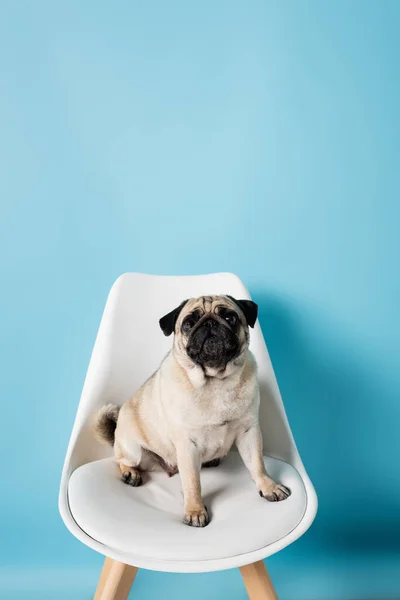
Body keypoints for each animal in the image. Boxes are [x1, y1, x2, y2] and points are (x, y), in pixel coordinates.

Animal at [94, 294, 290, 524]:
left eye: (230, 317)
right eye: (189, 323)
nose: (210, 323)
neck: (216, 381)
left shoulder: (249, 431)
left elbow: (258, 464)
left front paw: (269, 487)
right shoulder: (187, 444)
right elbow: (192, 482)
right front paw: (195, 511)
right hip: (133, 449)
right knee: (122, 460)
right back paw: (130, 474)